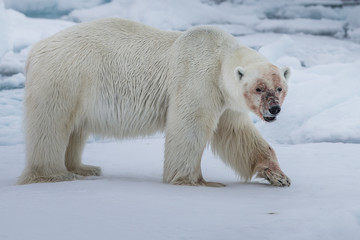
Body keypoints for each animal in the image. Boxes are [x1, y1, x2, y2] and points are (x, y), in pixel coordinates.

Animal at [18, 18, 292, 188]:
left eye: (279, 87)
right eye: (258, 88)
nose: (274, 109)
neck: (219, 56)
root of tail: (35, 50)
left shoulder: (224, 98)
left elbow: (237, 133)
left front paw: (278, 176)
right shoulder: (197, 78)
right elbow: (189, 128)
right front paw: (196, 181)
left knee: (75, 130)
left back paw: (85, 168)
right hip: (65, 77)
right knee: (51, 126)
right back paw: (53, 174)